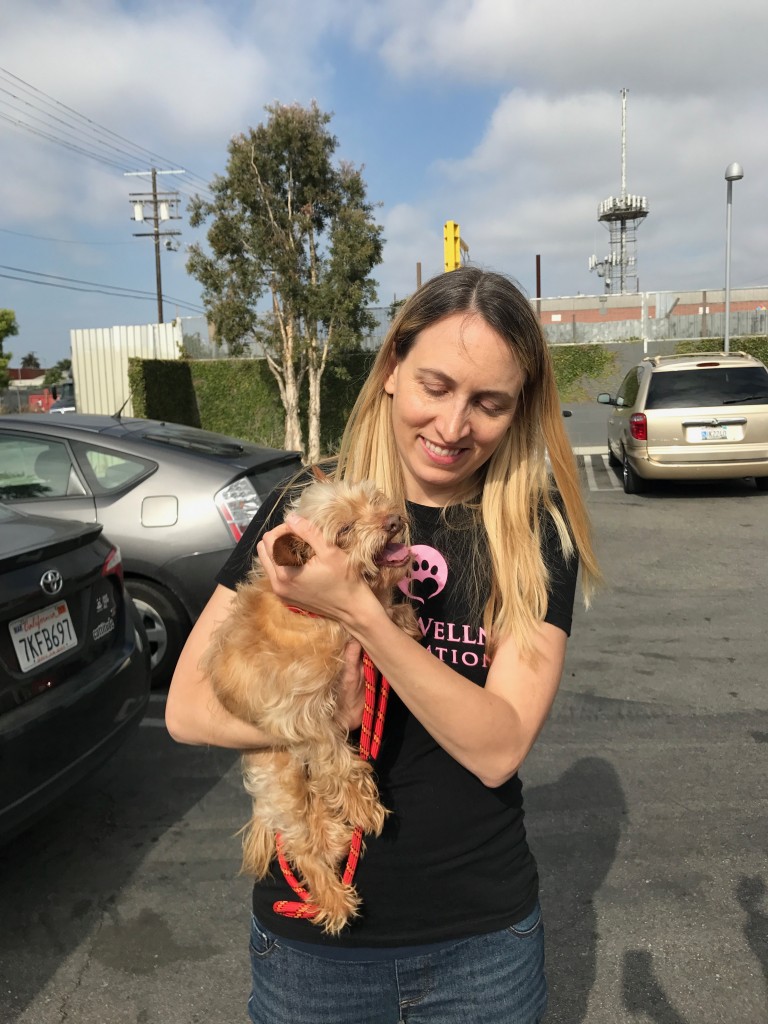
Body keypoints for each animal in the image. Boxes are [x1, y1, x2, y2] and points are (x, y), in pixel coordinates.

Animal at [202, 476, 418, 934]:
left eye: (373, 499)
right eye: (344, 530)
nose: (393, 520)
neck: (313, 615)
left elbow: (387, 614)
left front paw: (403, 622)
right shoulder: (299, 716)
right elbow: (339, 760)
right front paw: (363, 804)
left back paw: (337, 838)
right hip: (284, 782)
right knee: (301, 846)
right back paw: (334, 901)